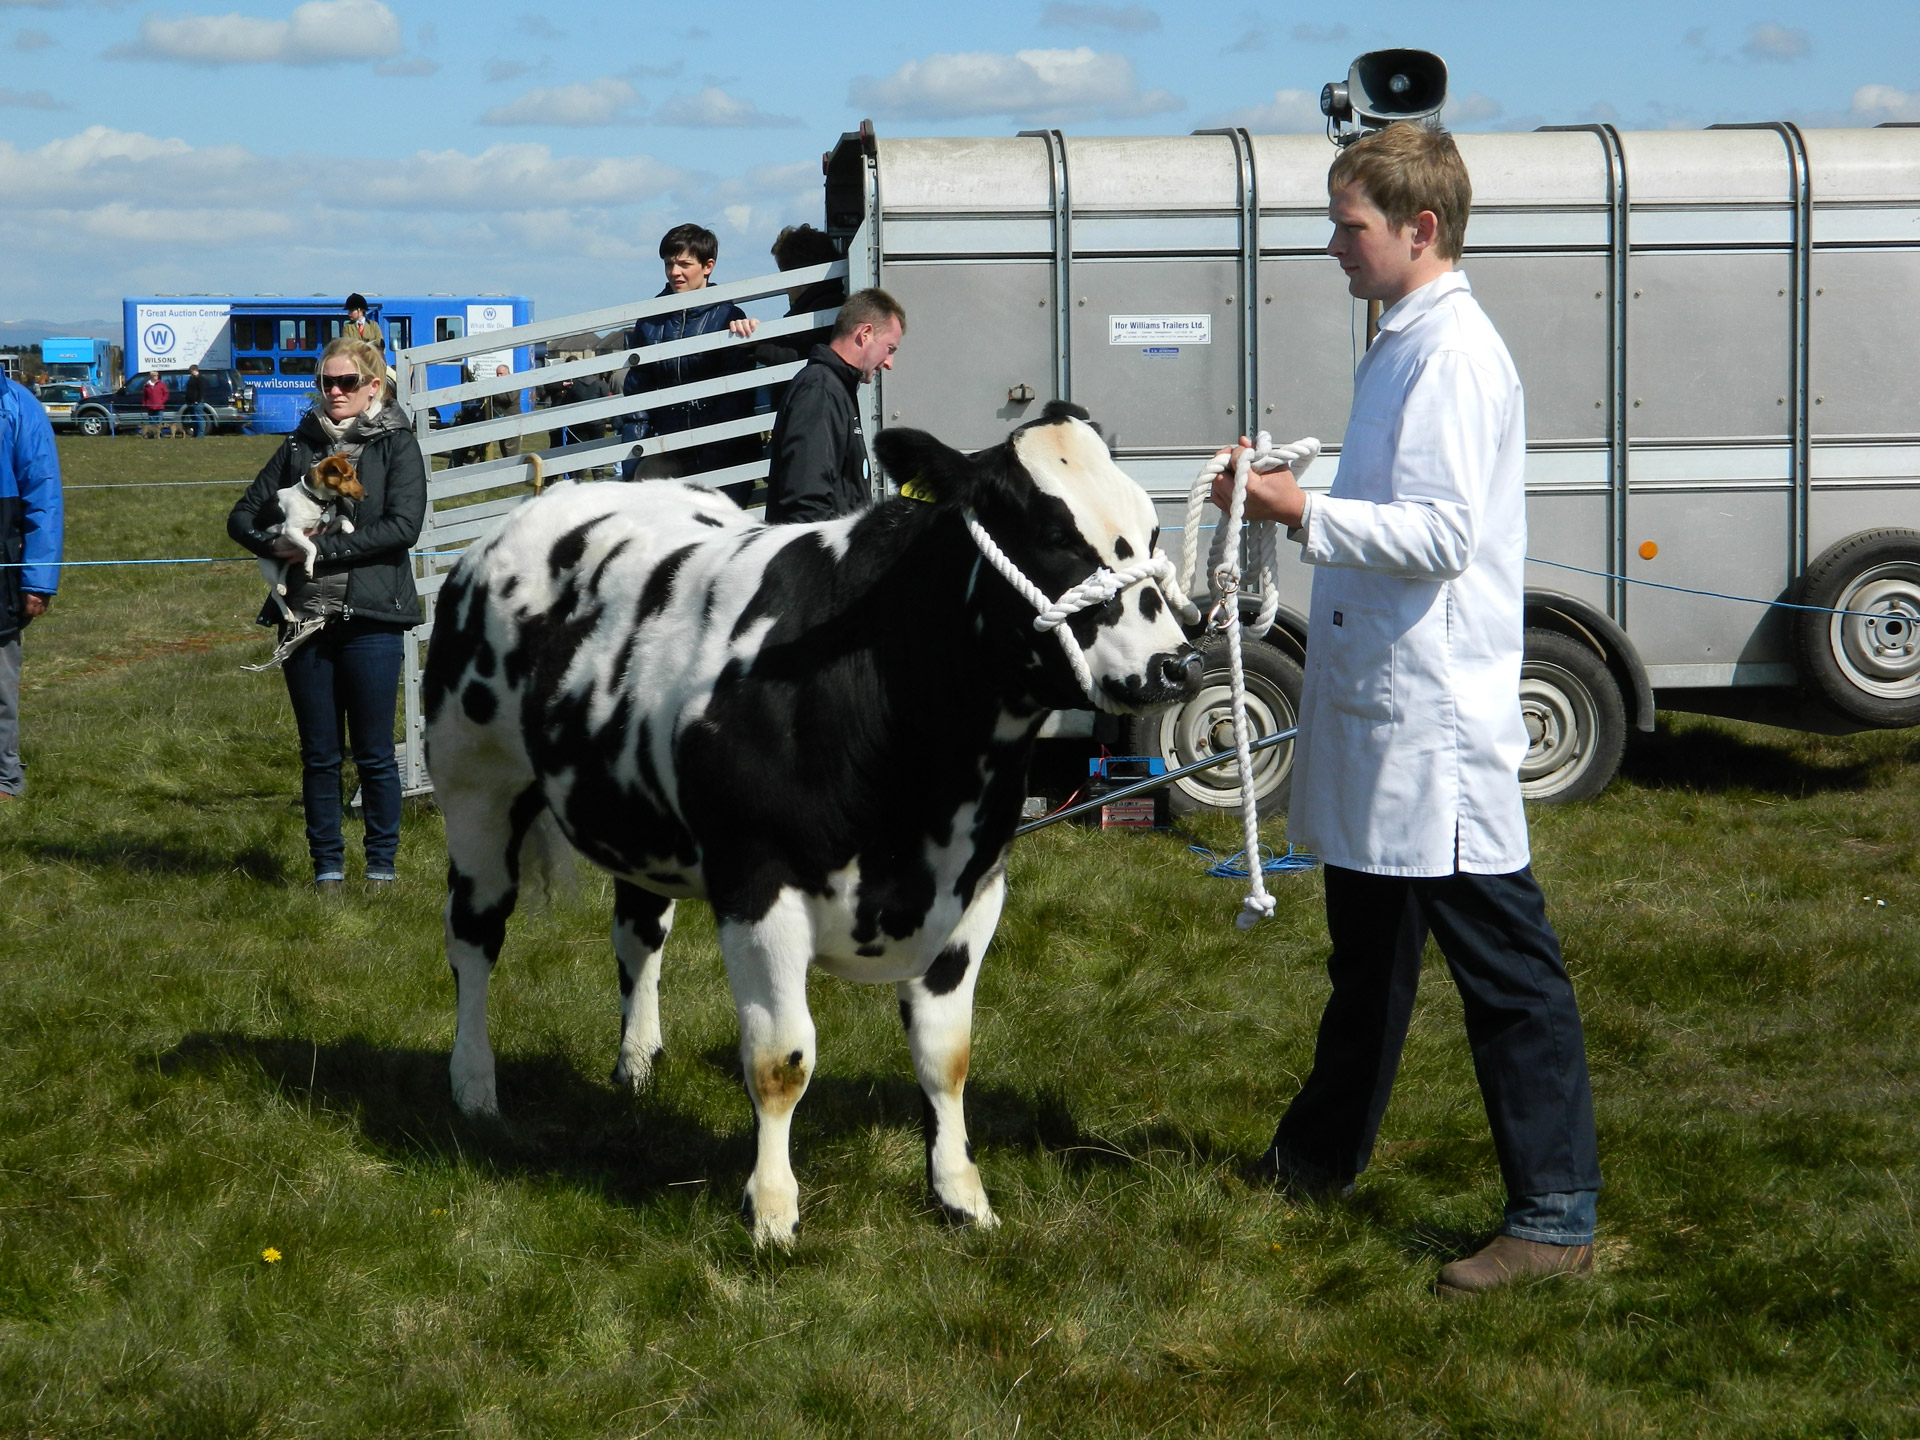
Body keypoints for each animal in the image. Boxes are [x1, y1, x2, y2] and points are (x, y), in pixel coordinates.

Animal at [259, 456, 362, 625]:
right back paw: (288, 613)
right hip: (269, 565)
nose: (366, 495)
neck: (312, 498)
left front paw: (349, 527)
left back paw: (282, 585)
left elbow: (341, 517)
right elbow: (312, 547)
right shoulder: (292, 531)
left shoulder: (323, 530)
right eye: (349, 477)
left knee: (286, 566)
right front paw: (309, 568)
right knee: (275, 593)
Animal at [424, 401, 1198, 1244]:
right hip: (475, 788)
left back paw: (636, 1066)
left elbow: (947, 1054)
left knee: (637, 933)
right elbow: (779, 1059)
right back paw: (472, 1087)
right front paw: (771, 1210)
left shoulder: (977, 884)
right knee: (474, 938)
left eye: (1152, 527)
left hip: (637, 819)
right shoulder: (760, 883)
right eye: (1053, 534)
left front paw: (961, 1194)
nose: (1178, 665)